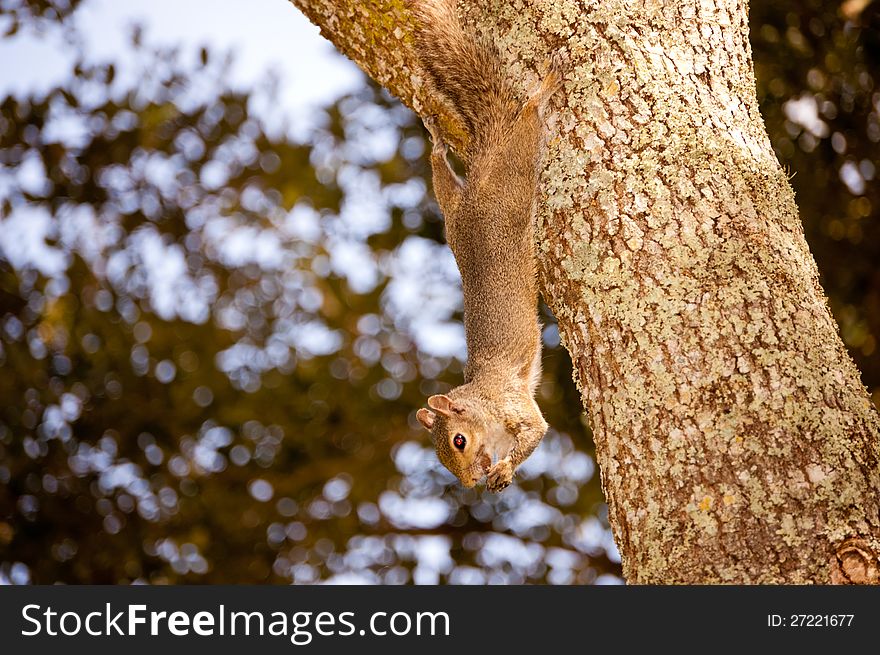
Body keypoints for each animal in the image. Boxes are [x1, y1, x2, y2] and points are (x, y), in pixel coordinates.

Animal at [408, 0, 560, 492]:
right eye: (442, 458)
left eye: (458, 440)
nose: (471, 483)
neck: (480, 398)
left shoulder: (511, 402)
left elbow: (537, 431)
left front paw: (505, 468)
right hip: (452, 217)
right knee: (442, 180)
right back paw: (437, 146)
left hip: (511, 177)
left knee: (526, 128)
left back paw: (541, 92)